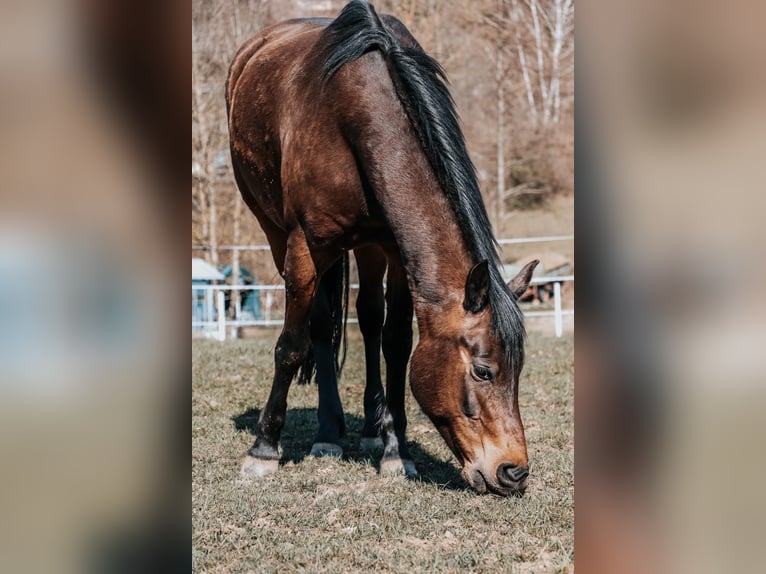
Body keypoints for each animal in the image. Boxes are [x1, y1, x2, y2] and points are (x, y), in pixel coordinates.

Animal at [228, 0, 540, 498]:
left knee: (370, 317)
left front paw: (398, 451)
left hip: (369, 246)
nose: (514, 473)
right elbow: (292, 345)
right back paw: (327, 434)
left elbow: (396, 342)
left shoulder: (395, 247)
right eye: (483, 371)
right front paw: (263, 450)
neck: (358, 109)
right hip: (275, 230)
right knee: (321, 326)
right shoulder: (303, 248)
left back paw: (373, 429)